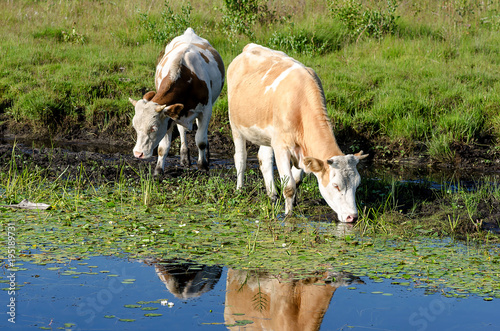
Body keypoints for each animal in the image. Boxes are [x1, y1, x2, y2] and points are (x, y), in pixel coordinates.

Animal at [129, 27, 225, 174]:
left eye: (153, 128)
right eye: (135, 127)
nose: (138, 154)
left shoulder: (206, 110)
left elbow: (201, 141)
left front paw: (203, 165)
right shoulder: (168, 116)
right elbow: (163, 147)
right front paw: (158, 170)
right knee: (182, 131)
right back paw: (184, 157)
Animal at [228, 42, 368, 222]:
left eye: (357, 184)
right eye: (336, 185)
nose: (353, 217)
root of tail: (250, 47)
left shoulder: (300, 150)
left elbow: (296, 180)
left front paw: (293, 204)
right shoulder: (281, 147)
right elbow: (289, 186)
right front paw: (288, 214)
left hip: (267, 134)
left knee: (264, 158)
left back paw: (272, 195)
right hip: (235, 124)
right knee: (240, 158)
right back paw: (240, 190)